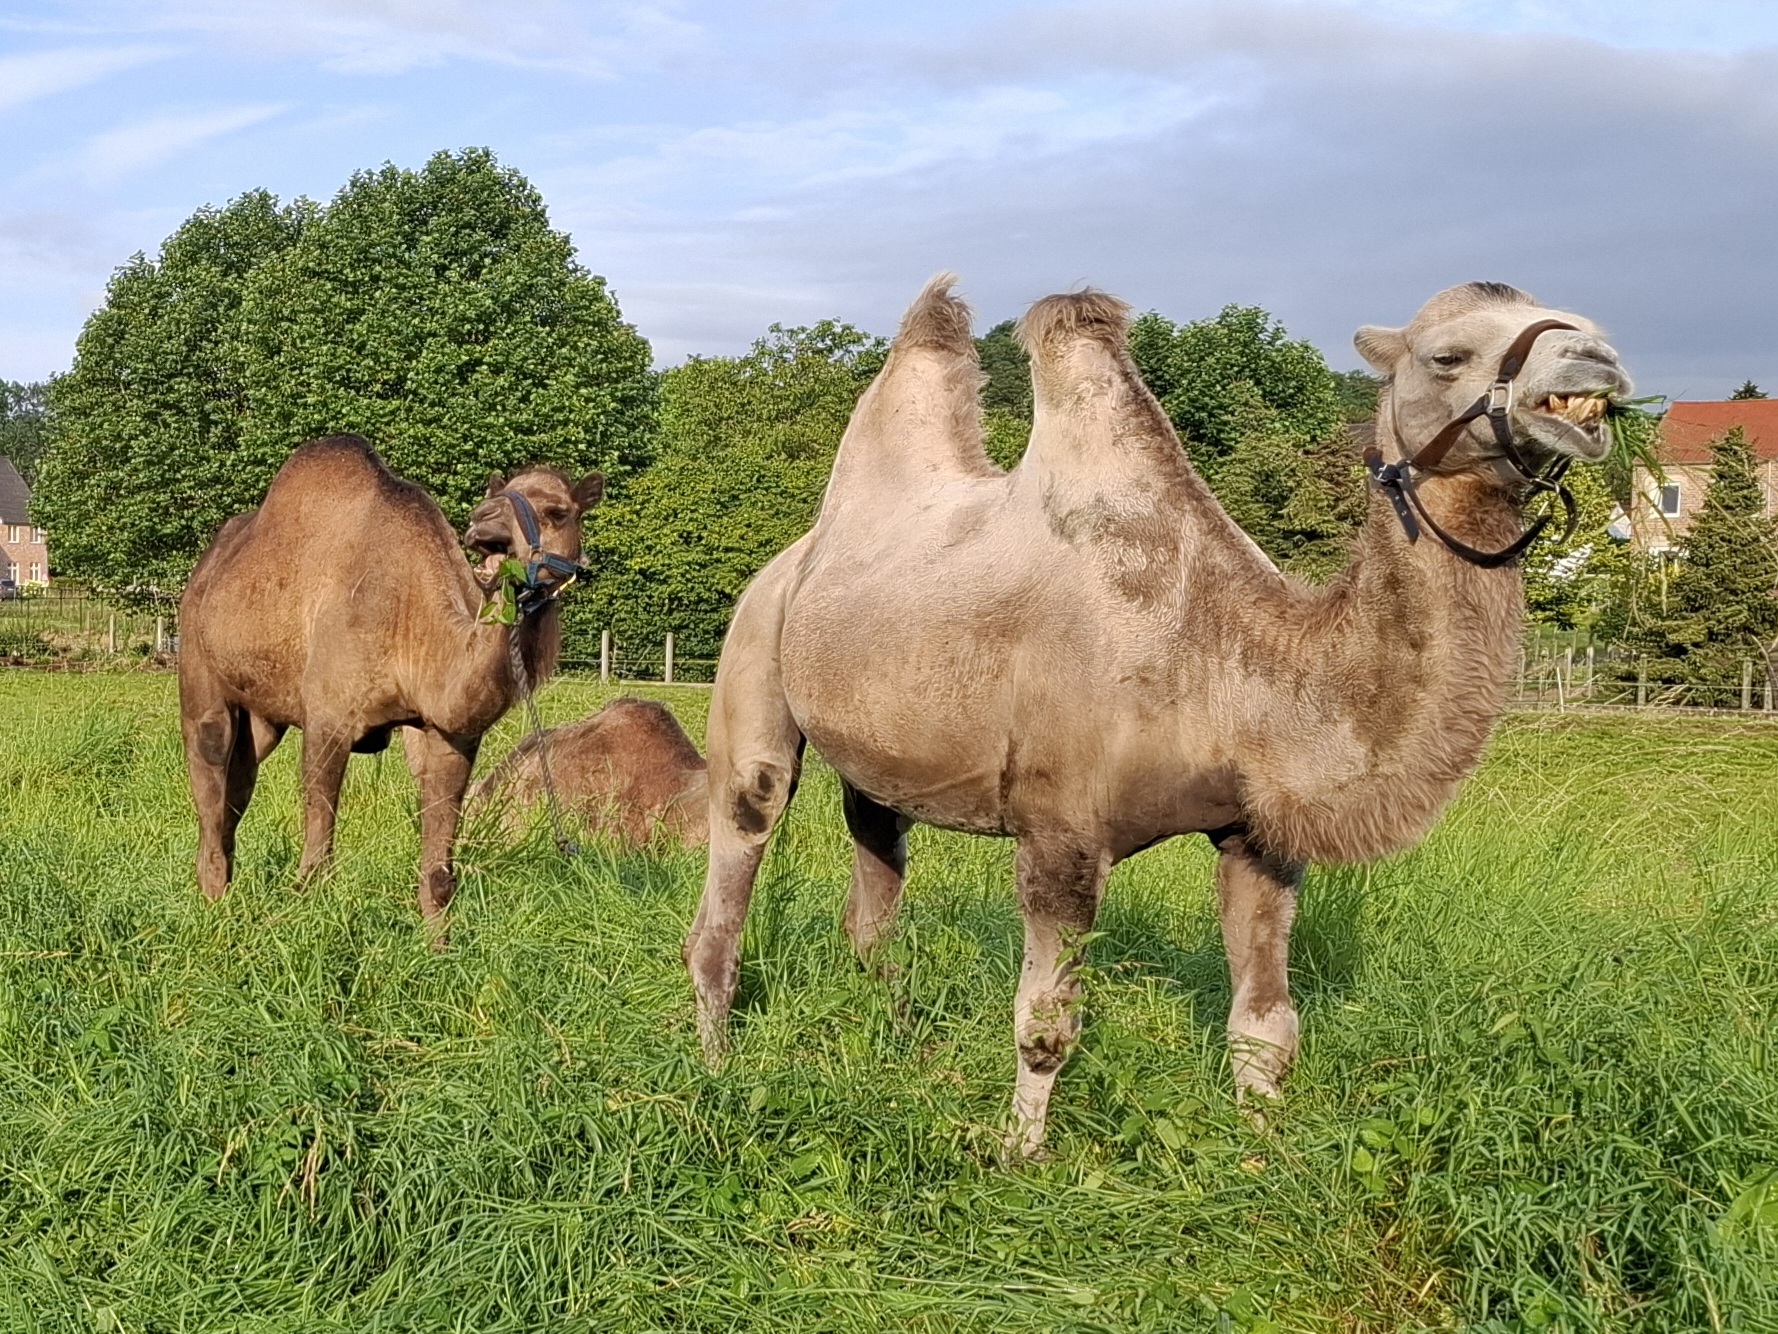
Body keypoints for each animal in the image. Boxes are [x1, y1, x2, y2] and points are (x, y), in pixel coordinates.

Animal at [177, 439, 604, 932]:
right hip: (199, 673)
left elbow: (439, 874)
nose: (483, 519)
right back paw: (213, 906)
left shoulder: (447, 732)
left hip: (263, 718)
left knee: (238, 786)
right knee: (209, 781)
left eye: (558, 511)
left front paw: (439, 943)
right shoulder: (327, 719)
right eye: (497, 495)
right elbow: (317, 860)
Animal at [686, 277, 1628, 1152]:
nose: (1597, 364)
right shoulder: (1060, 831)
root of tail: (797, 554)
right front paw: (1017, 1156)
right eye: (1446, 355)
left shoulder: (1258, 837)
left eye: (1589, 325)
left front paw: (1262, 1152)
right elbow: (1044, 1026)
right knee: (737, 856)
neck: (1219, 659)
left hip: (881, 753)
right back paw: (718, 1064)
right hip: (755, 661)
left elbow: (1265, 1025)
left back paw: (897, 1042)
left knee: (875, 893)